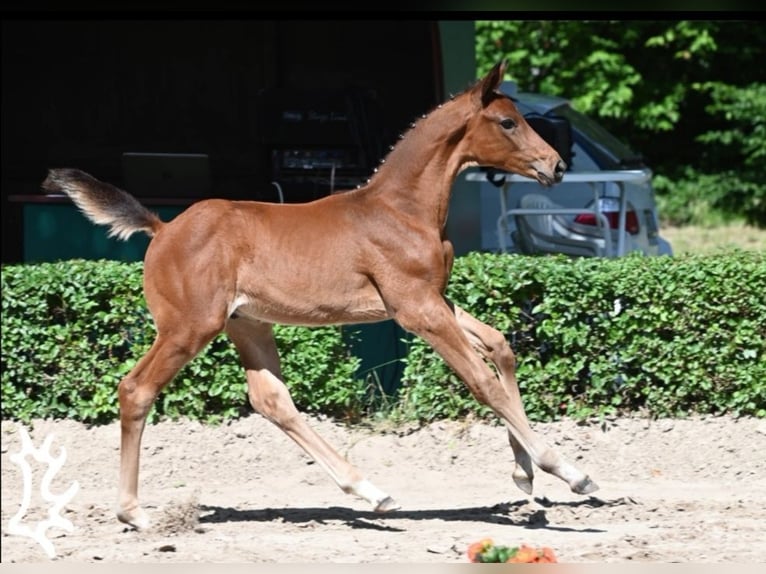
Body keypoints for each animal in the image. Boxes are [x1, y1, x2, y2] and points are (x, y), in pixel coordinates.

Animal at [43, 59, 600, 532]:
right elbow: (482, 382)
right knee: (136, 389)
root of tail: (162, 228)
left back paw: (371, 490)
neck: (403, 209)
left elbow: (500, 346)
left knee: (271, 399)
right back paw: (134, 513)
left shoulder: (432, 300)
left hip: (247, 324)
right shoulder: (416, 311)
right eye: (507, 122)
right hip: (188, 328)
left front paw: (525, 474)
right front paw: (567, 470)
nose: (555, 166)